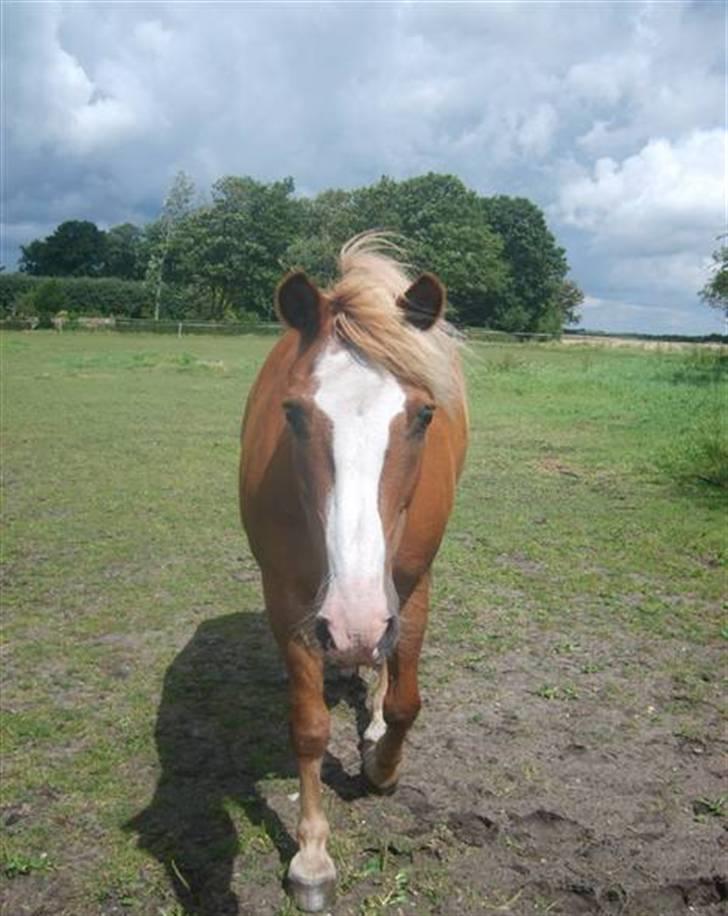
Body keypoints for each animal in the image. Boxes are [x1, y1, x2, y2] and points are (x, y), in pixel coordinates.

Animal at [239, 234, 466, 908]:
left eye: (423, 416)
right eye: (292, 413)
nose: (354, 625)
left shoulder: (412, 585)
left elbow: (406, 702)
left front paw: (382, 769)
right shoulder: (289, 601)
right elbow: (309, 727)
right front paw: (312, 858)